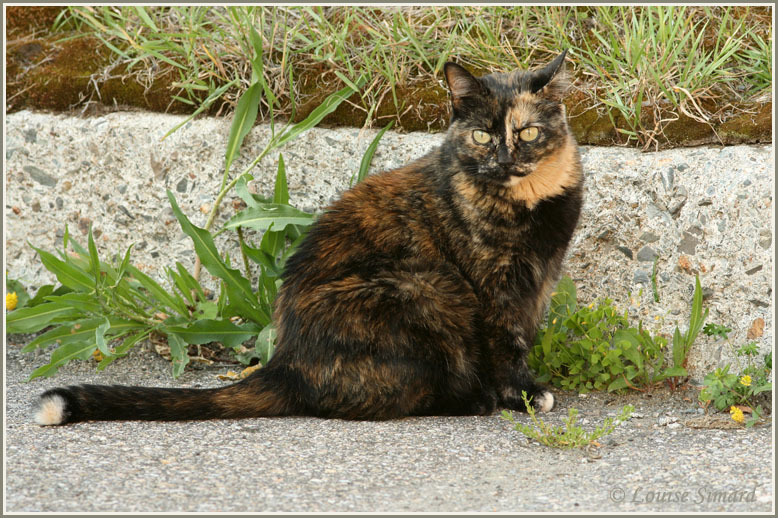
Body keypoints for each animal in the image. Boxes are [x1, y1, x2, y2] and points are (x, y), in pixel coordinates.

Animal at [33, 51, 580, 426]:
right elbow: (506, 343)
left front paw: (525, 389)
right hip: (425, 289)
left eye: (528, 133)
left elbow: (524, 334)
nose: (503, 161)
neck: (532, 202)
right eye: (482, 136)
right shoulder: (493, 287)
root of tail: (286, 364)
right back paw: (474, 399)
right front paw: (521, 394)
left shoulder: (539, 282)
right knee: (389, 398)